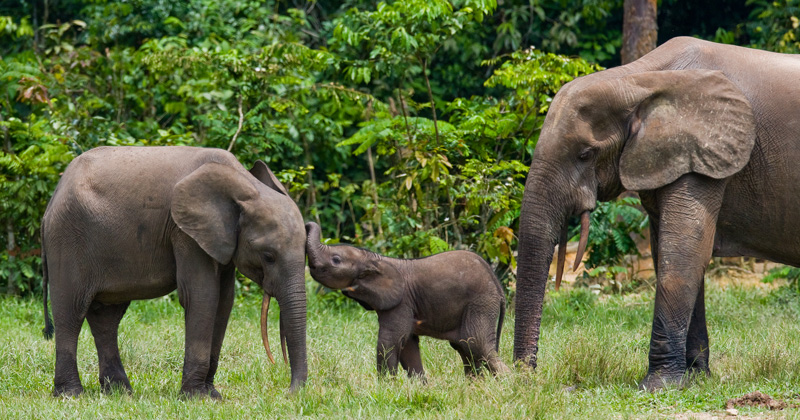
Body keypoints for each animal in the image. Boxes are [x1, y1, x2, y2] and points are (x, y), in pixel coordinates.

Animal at [42, 146, 310, 398]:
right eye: (268, 256)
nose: (289, 392)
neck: (244, 184)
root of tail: (52, 200)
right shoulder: (184, 233)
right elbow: (202, 295)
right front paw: (196, 397)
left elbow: (224, 301)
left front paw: (212, 395)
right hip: (67, 238)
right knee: (71, 310)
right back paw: (71, 394)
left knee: (107, 317)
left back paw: (120, 392)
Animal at [304, 221, 510, 378]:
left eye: (336, 260)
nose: (306, 224)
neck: (375, 259)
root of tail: (498, 288)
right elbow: (408, 346)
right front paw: (419, 387)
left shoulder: (401, 303)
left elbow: (390, 340)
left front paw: (386, 387)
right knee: (465, 349)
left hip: (480, 304)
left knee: (476, 345)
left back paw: (508, 384)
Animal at [512, 37, 800, 392]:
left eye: (585, 154)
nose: (526, 378)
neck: (636, 80)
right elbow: (670, 253)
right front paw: (695, 380)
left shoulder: (700, 155)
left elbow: (683, 254)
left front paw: (658, 386)